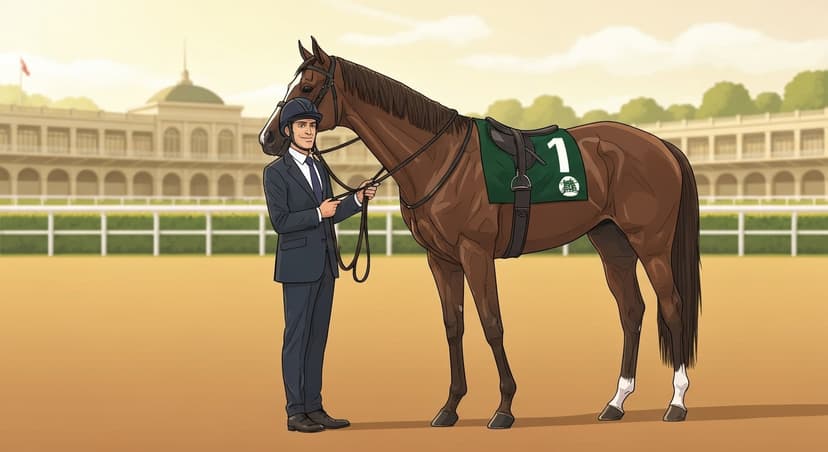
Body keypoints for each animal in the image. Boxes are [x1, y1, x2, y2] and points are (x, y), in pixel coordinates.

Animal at [259, 37, 701, 429]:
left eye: (307, 87)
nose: (269, 136)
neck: (438, 159)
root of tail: (661, 145)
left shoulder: (475, 253)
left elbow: (491, 323)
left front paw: (504, 408)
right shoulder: (441, 260)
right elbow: (453, 327)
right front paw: (450, 408)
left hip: (651, 245)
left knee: (672, 306)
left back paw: (677, 402)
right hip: (612, 242)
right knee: (631, 310)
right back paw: (616, 402)